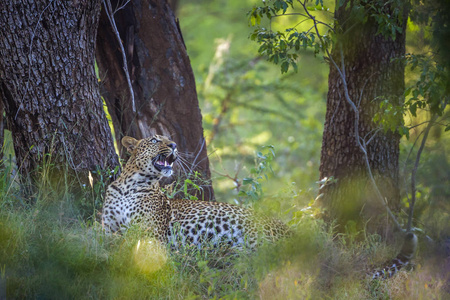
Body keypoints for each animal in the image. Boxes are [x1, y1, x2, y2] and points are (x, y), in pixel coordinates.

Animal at [102, 134, 290, 248]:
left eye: (168, 139)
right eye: (155, 140)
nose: (174, 144)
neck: (130, 186)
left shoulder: (151, 232)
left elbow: (128, 241)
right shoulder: (108, 226)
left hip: (257, 234)